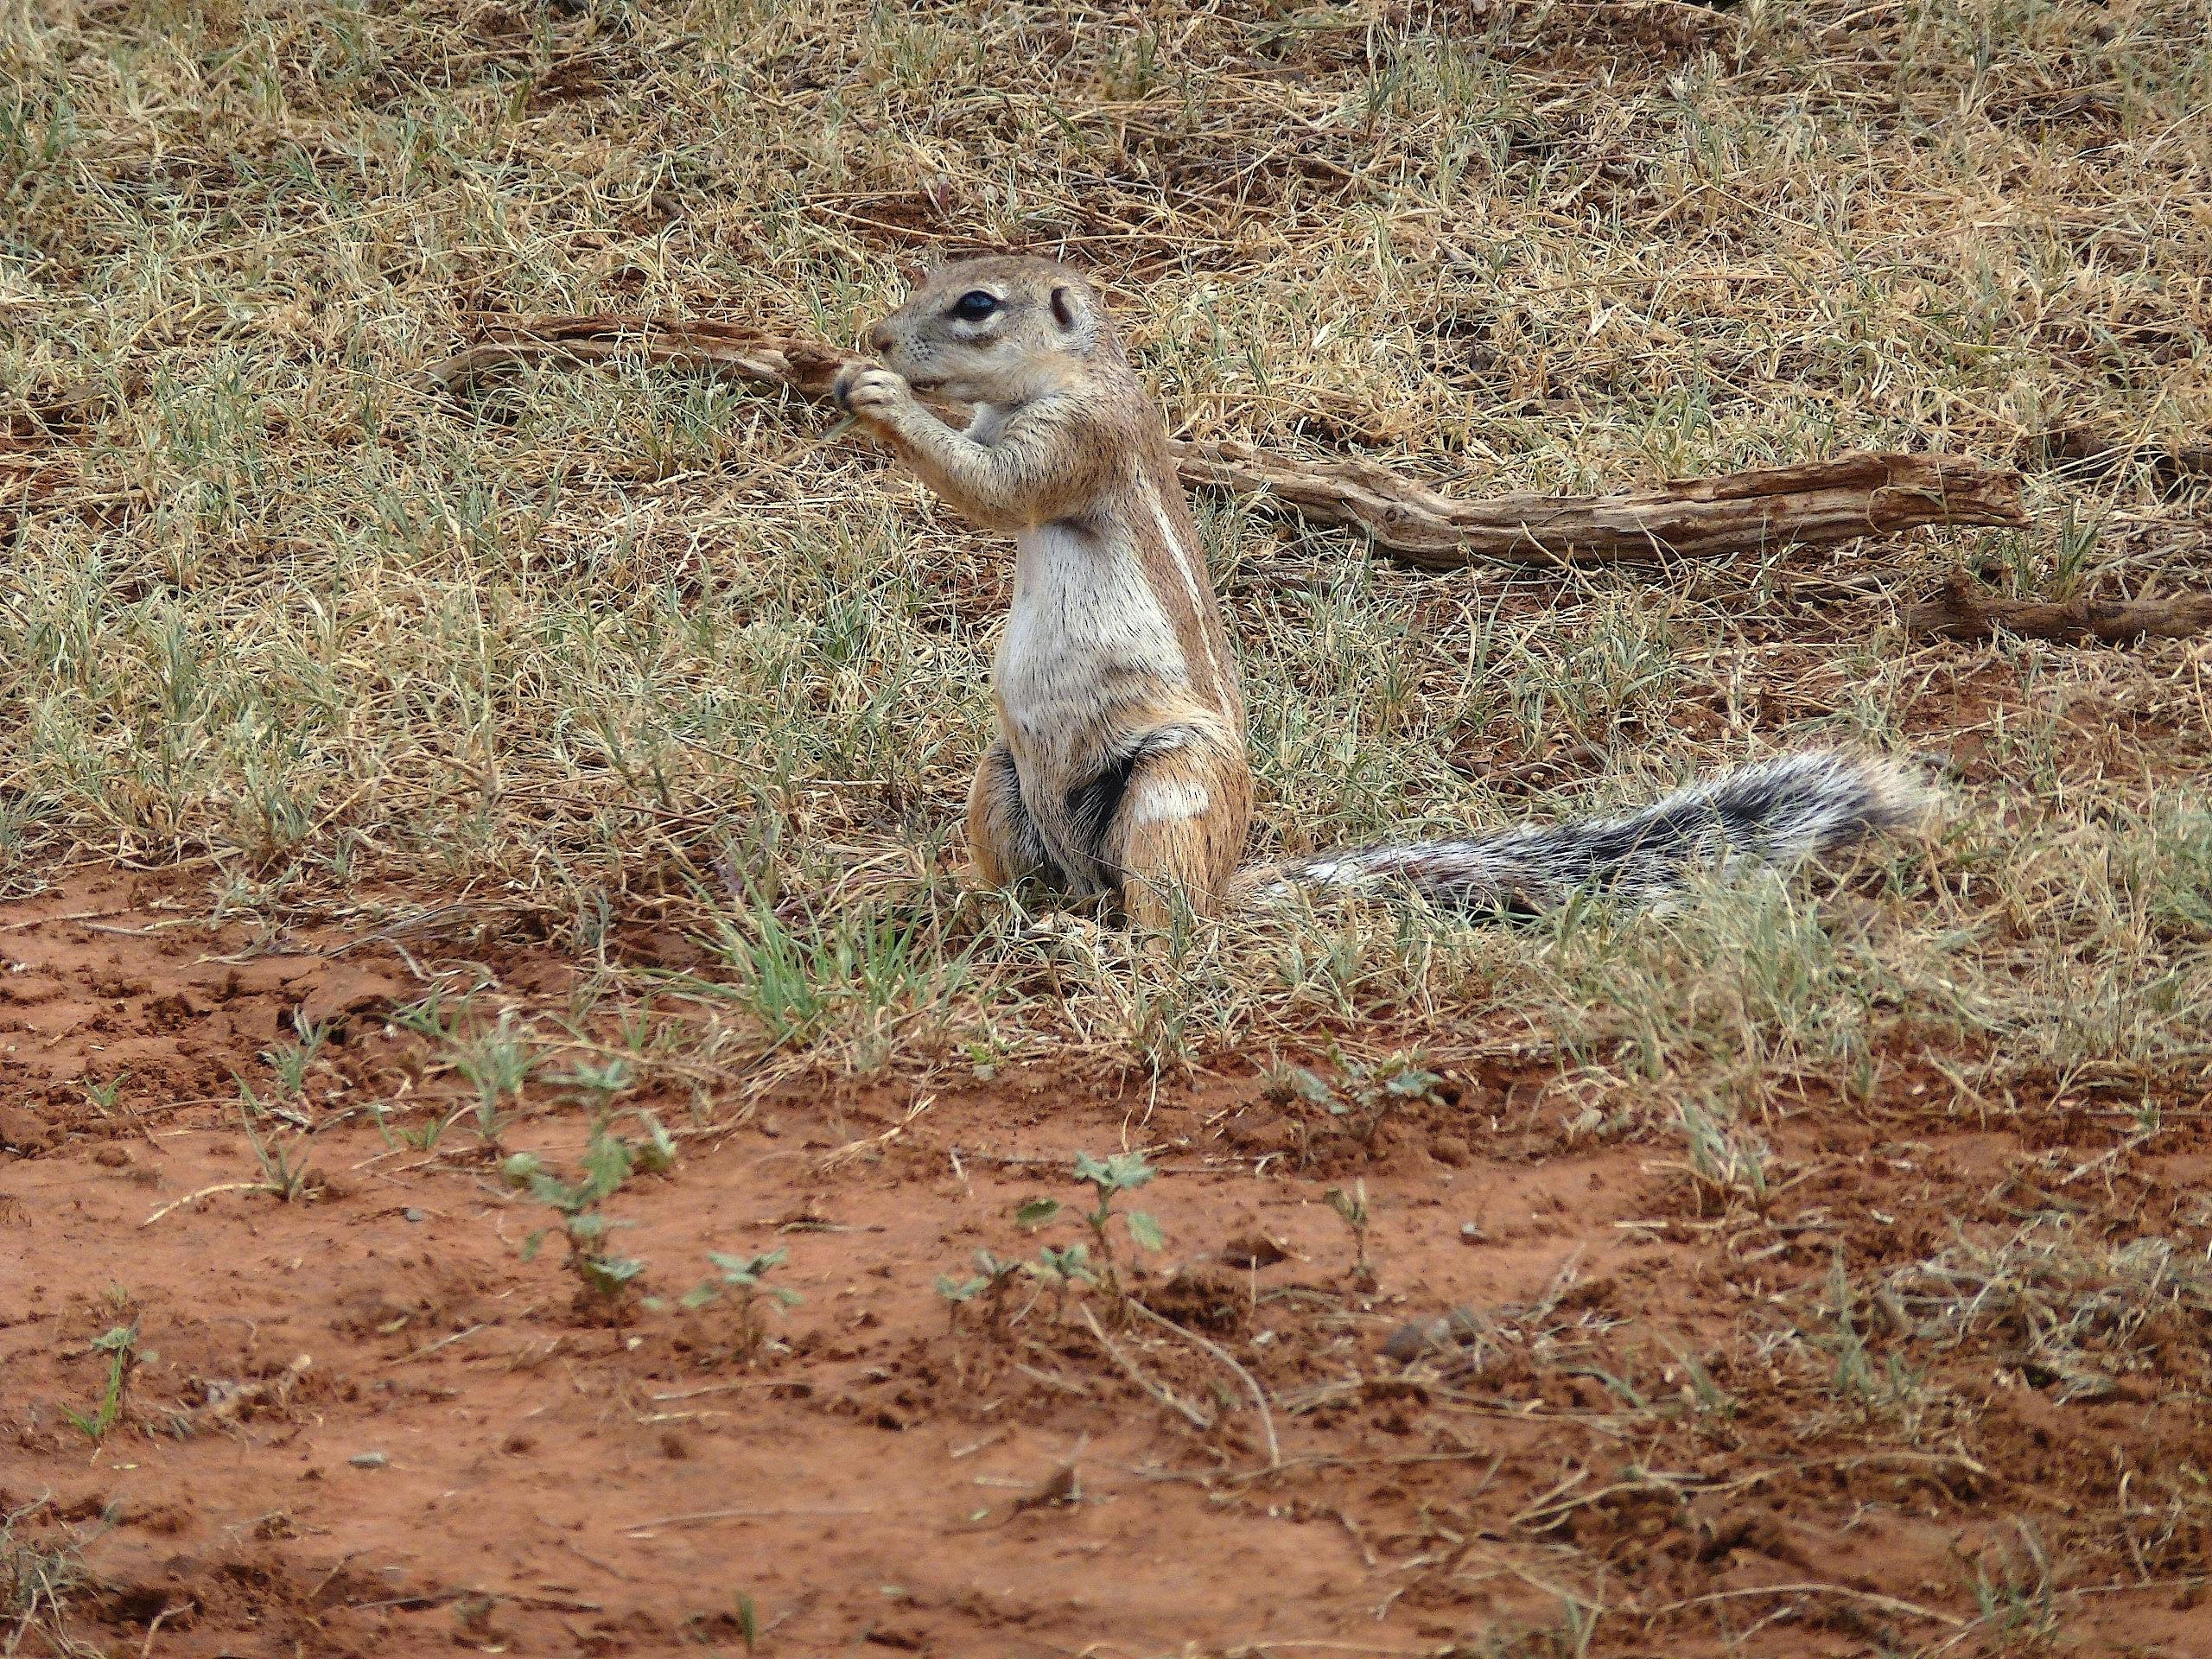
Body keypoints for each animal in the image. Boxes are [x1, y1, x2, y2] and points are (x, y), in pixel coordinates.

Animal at [832, 255, 1928, 928]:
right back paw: (968, 911)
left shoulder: (1080, 437)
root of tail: (1229, 883)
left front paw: (878, 401)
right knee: (1033, 884)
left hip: (1168, 792)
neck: (1064, 373)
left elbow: (997, 489)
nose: (876, 337)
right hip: (1000, 781)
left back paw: (1103, 941)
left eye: (977, 305)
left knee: (1165, 927)